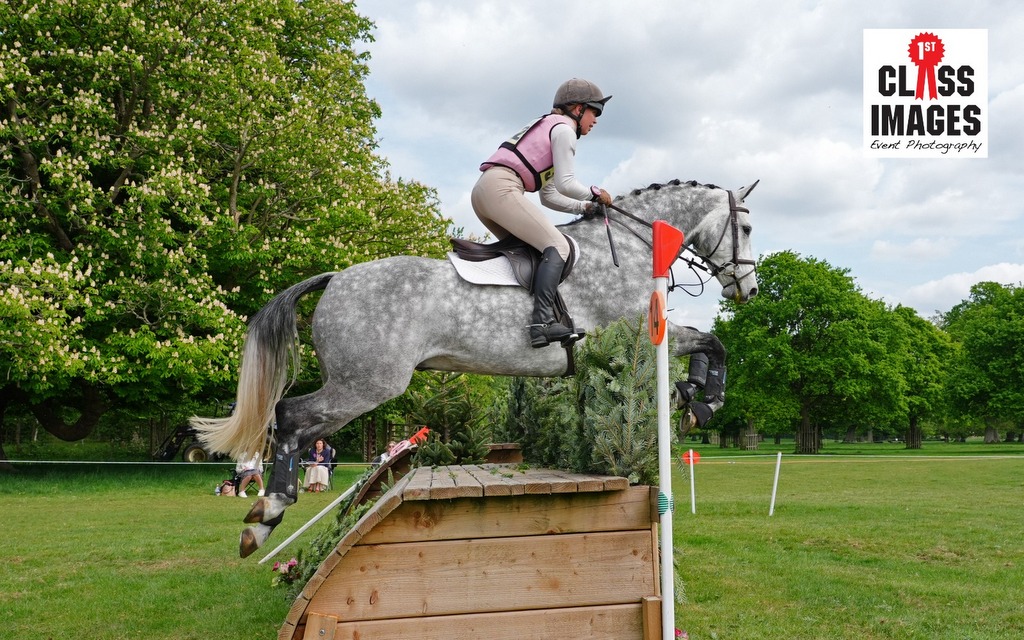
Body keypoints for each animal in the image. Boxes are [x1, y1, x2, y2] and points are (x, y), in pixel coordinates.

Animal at [192, 178, 759, 558]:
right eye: (748, 227)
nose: (748, 290)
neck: (631, 249)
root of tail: (335, 277)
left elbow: (706, 344)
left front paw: (691, 396)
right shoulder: (638, 333)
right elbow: (713, 341)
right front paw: (705, 401)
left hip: (358, 384)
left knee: (294, 424)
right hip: (367, 384)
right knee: (290, 417)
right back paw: (264, 517)